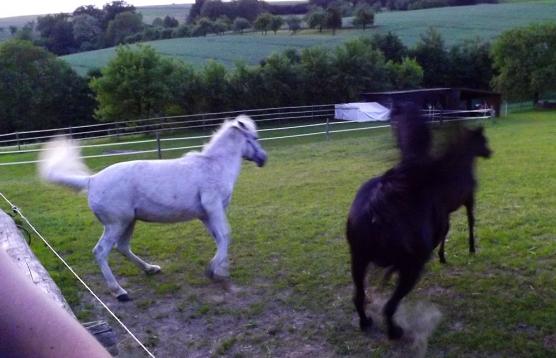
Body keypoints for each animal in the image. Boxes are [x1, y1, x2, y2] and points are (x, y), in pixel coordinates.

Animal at [38, 116, 268, 300]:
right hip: (116, 224)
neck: (214, 166)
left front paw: (222, 271)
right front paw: (213, 271)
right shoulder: (213, 208)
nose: (263, 159)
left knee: (122, 247)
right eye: (255, 138)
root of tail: (91, 180)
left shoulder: (206, 214)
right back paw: (119, 291)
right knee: (101, 251)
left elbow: (220, 238)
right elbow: (225, 235)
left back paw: (150, 269)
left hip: (128, 222)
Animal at [348, 105, 490, 338]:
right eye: (484, 140)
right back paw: (394, 331)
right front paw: (468, 248)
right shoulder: (467, 201)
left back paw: (366, 321)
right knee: (390, 305)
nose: (489, 152)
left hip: (358, 260)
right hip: (410, 266)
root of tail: (376, 206)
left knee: (359, 296)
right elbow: (468, 223)